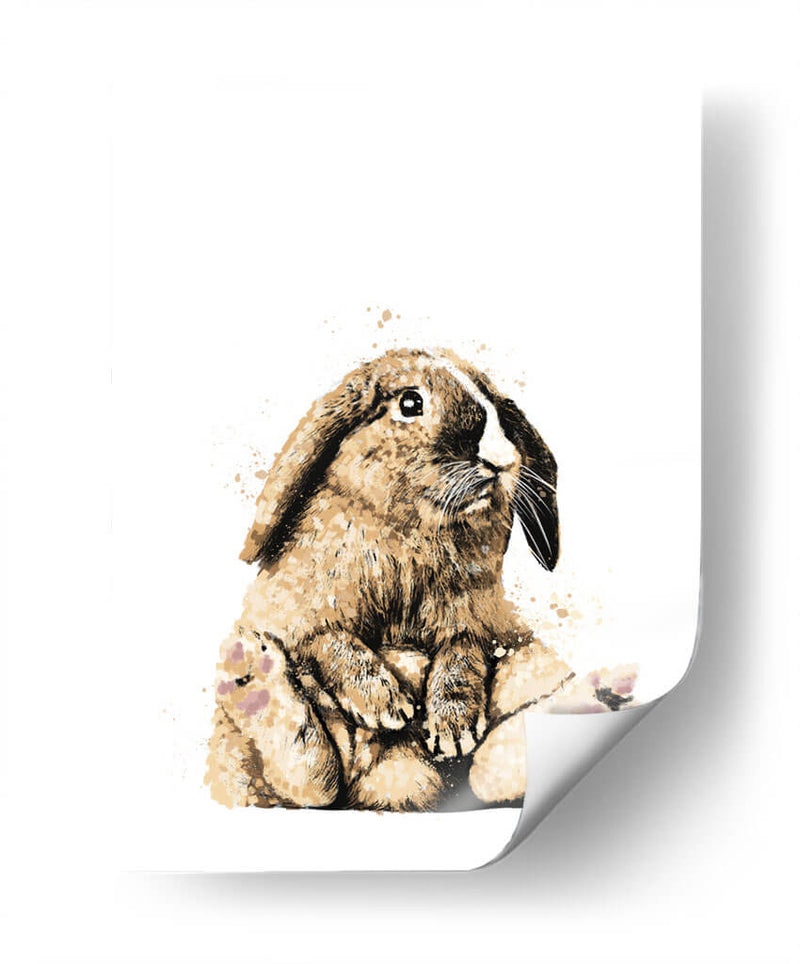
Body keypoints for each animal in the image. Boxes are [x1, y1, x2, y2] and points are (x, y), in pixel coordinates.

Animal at [206, 347, 562, 811]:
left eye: (498, 407)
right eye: (410, 403)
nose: (501, 461)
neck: (409, 533)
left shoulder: (477, 617)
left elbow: (462, 652)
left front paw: (453, 729)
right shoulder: (295, 607)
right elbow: (328, 638)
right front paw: (385, 704)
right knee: (312, 777)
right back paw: (252, 672)